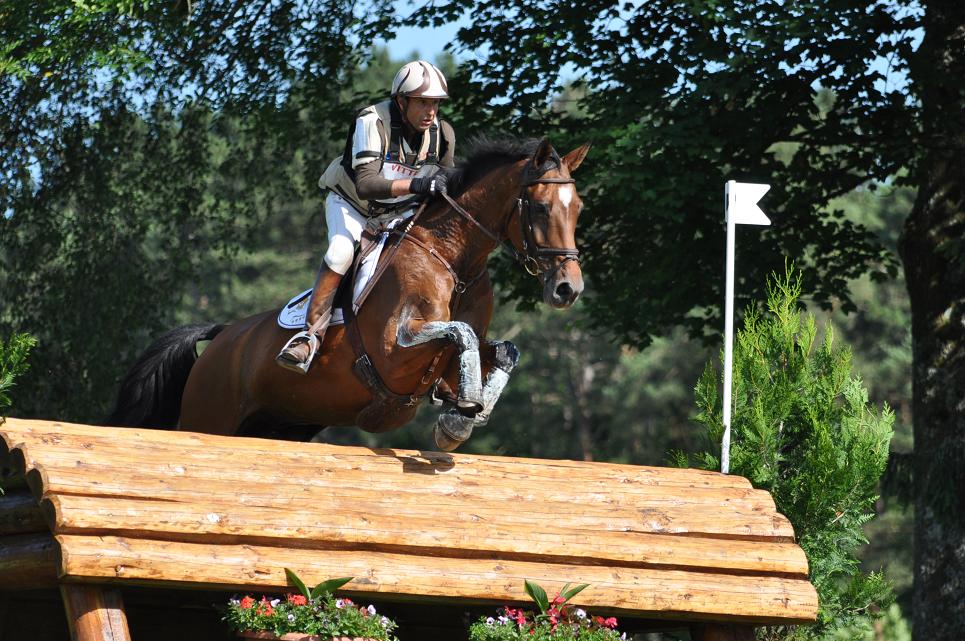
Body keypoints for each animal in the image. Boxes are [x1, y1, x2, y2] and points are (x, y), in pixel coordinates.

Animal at [105, 136, 588, 450]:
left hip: (279, 424)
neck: (454, 258)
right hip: (210, 415)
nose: (568, 288)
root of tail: (224, 334)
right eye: (540, 207)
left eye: (578, 208)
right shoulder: (395, 348)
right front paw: (460, 416)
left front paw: (467, 413)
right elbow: (460, 334)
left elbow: (503, 350)